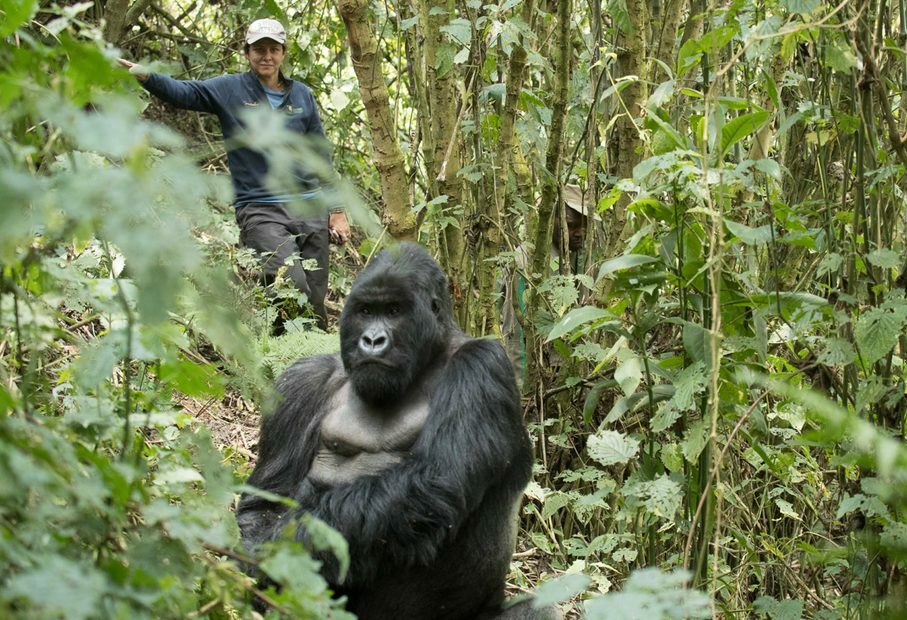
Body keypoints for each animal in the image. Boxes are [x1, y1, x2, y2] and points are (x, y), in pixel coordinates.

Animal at [234, 243, 548, 620]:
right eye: (366, 311)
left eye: (395, 311)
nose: (372, 340)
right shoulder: (301, 382)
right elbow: (266, 500)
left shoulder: (482, 365)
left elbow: (435, 478)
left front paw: (276, 555)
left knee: (537, 610)